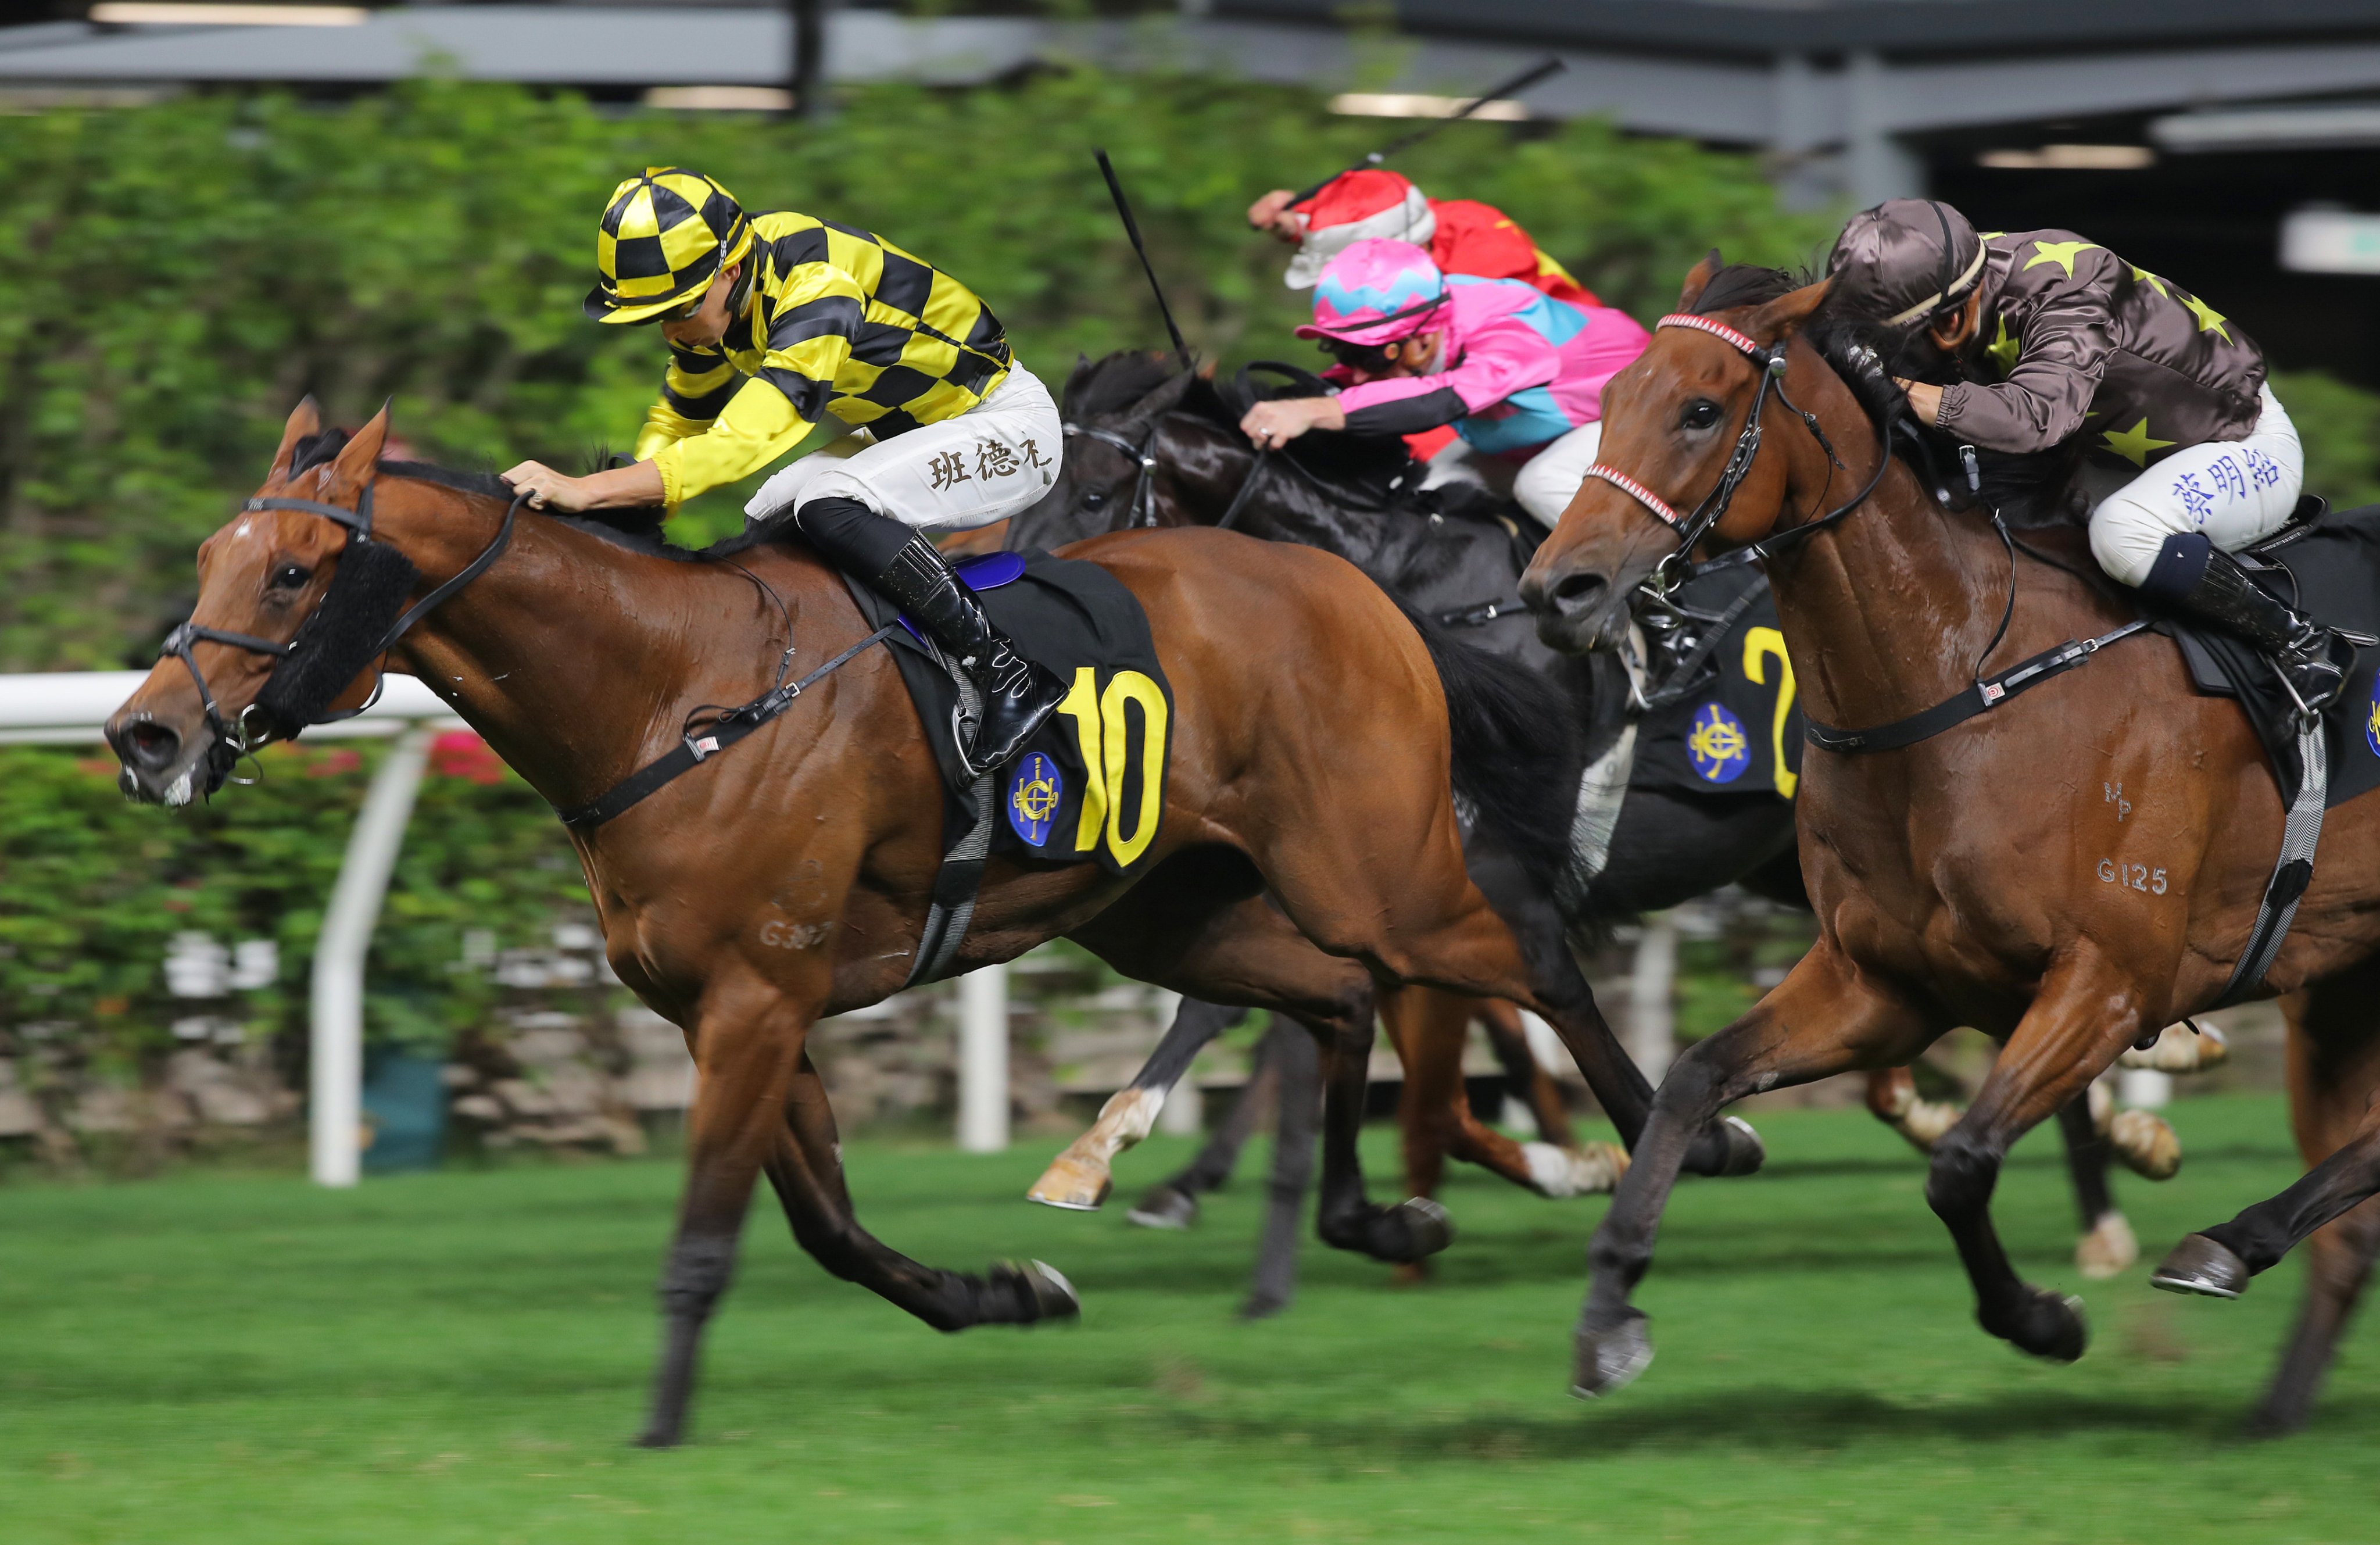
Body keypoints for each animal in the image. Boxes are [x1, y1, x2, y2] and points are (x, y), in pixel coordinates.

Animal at [102, 397, 1761, 1447]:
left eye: (295, 569)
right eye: (206, 561)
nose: (143, 734)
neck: (671, 692)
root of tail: (1352, 589)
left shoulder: (756, 1001)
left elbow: (711, 1240)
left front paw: (658, 1426)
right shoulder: (729, 1011)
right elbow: (832, 1232)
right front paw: (1007, 1292)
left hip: (1378, 863)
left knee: (1512, 955)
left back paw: (1666, 1141)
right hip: (1166, 908)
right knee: (1333, 996)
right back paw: (1379, 1213)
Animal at [1018, 352, 2180, 1285]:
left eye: (1093, 487)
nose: (1034, 595)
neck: (1407, 600)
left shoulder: (1460, 874)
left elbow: (1294, 1026)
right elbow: (1262, 1015)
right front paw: (1121, 1159)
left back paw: (2105, 1210)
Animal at [1513, 256, 2379, 1418]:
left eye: (1700, 409)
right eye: (1608, 399)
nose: (1559, 588)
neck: (1961, 682)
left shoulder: (2110, 981)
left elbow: (1961, 1160)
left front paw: (2043, 1316)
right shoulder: (1882, 982)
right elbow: (1693, 1077)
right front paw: (1609, 1311)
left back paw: (2231, 1242)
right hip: (2342, 977)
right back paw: (2252, 1321)